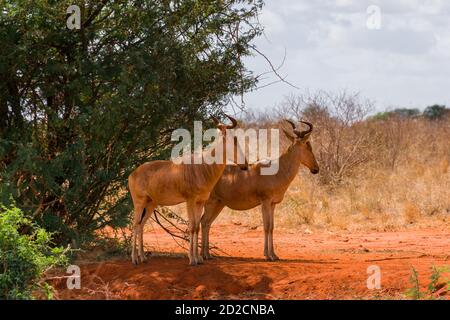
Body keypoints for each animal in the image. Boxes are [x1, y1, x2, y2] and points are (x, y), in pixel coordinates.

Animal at [128, 115, 248, 264]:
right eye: (234, 140)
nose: (245, 165)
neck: (201, 167)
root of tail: (133, 174)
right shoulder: (189, 201)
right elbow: (191, 227)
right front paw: (192, 260)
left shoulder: (200, 202)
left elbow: (196, 227)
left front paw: (198, 259)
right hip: (139, 202)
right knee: (135, 225)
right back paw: (134, 259)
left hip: (150, 204)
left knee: (141, 225)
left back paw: (143, 257)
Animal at [200, 119, 320, 260]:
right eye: (307, 145)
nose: (316, 169)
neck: (276, 169)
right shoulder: (265, 202)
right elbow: (266, 226)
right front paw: (269, 256)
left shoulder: (273, 204)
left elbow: (272, 227)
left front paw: (274, 255)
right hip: (210, 202)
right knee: (203, 221)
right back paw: (204, 255)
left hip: (219, 204)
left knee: (207, 223)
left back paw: (207, 254)